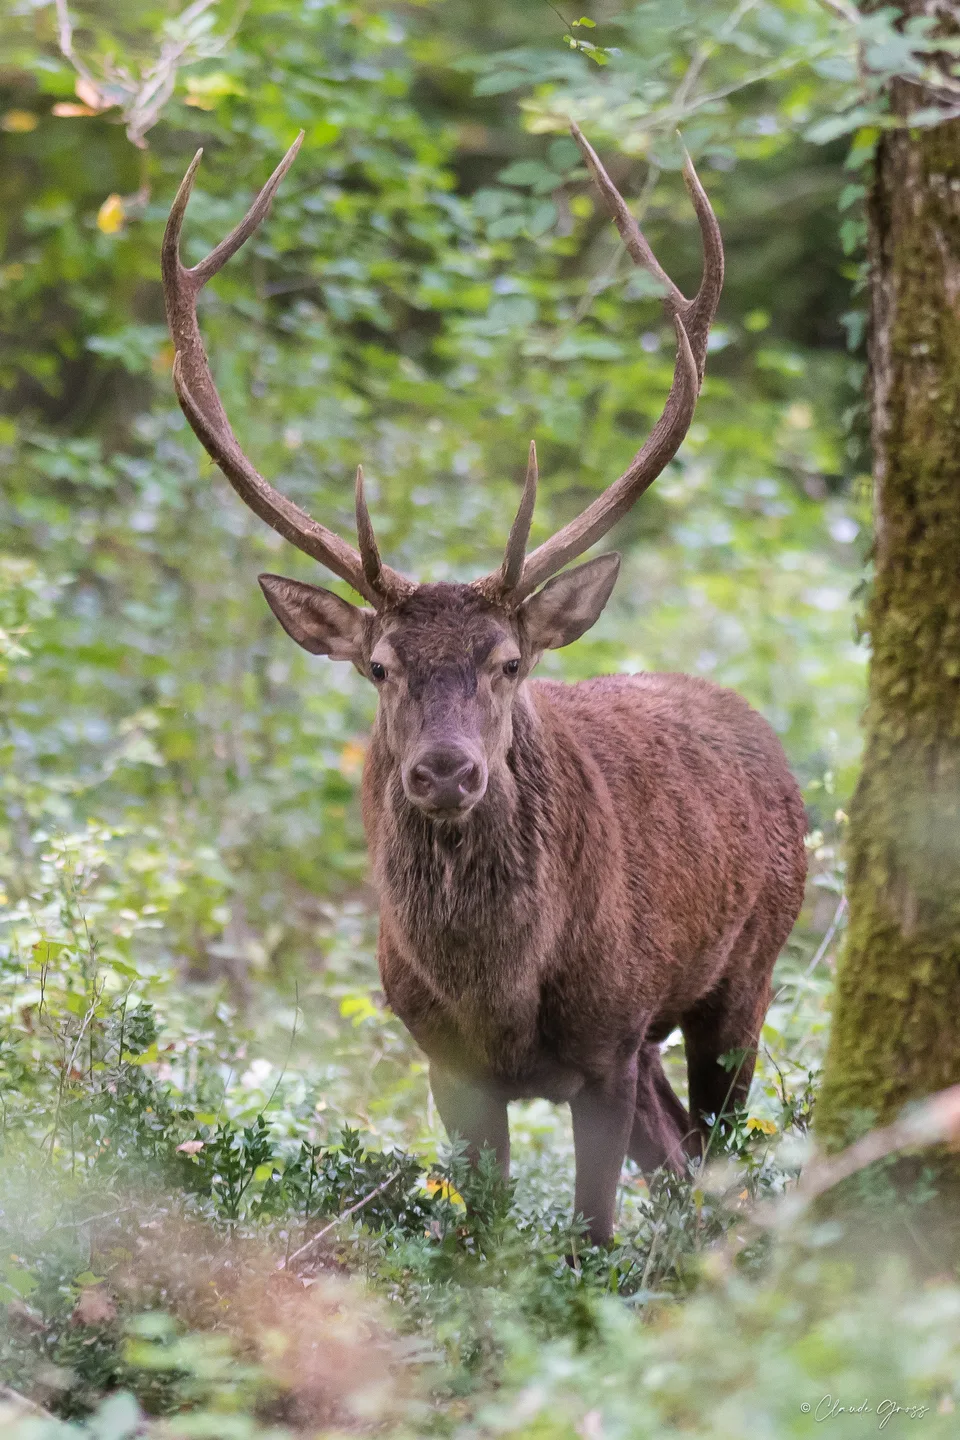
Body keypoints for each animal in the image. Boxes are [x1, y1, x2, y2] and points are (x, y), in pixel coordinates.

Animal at [162, 126, 807, 1245]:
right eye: (379, 667)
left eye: (510, 663)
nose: (446, 773)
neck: (500, 993)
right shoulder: (441, 1059)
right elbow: (479, 1235)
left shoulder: (608, 1038)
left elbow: (589, 1237)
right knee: (684, 1158)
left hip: (749, 967)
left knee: (727, 1152)